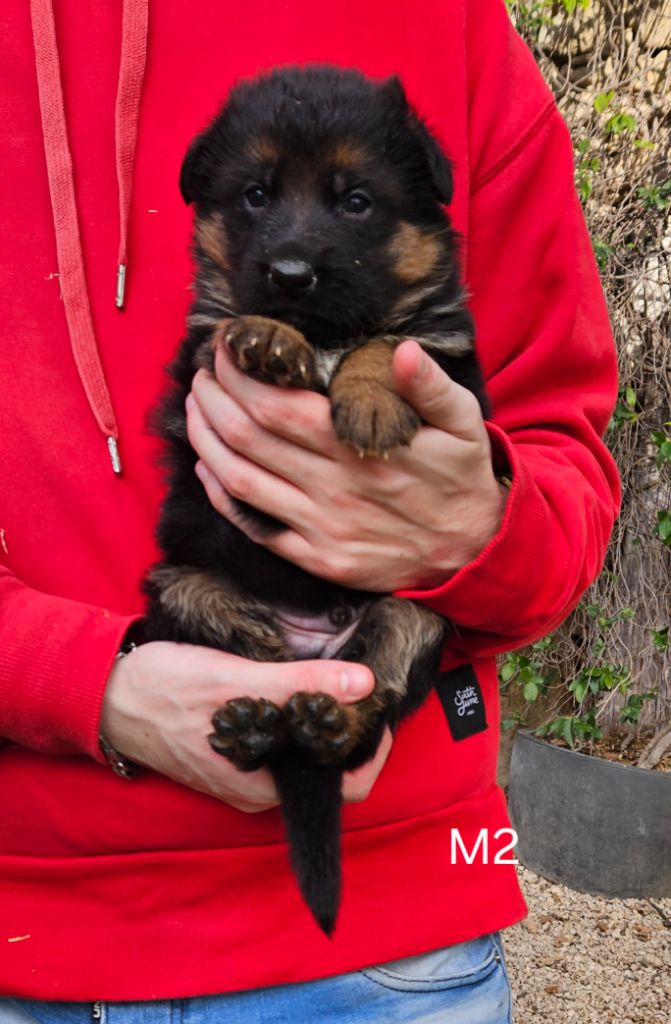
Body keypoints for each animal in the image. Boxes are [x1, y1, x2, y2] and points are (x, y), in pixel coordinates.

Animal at [144, 66, 487, 937]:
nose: (291, 275)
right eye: (256, 195)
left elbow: (390, 342)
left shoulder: (456, 366)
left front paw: (365, 395)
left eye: (356, 201)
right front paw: (272, 339)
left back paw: (324, 721)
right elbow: (233, 332)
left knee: (368, 706)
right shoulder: (202, 370)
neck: (325, 329)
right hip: (182, 586)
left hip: (416, 616)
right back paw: (258, 717)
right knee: (246, 660)